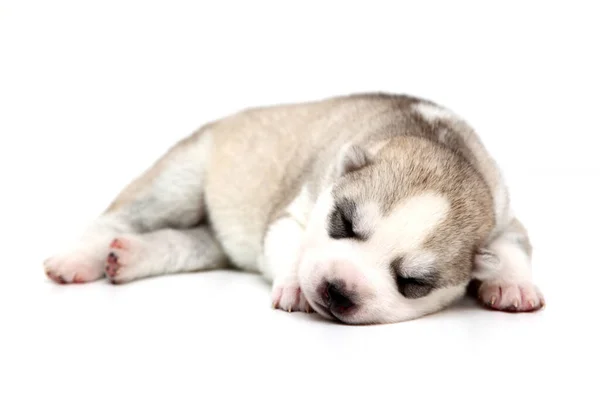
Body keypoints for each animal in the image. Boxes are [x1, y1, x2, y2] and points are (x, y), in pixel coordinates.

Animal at [44, 93, 548, 324]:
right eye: (343, 223)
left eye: (413, 283)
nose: (337, 289)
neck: (438, 145)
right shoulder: (295, 211)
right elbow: (291, 245)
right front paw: (293, 287)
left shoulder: (505, 215)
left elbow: (514, 247)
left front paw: (513, 284)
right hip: (179, 179)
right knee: (117, 217)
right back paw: (79, 258)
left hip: (210, 236)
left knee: (186, 243)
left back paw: (129, 256)